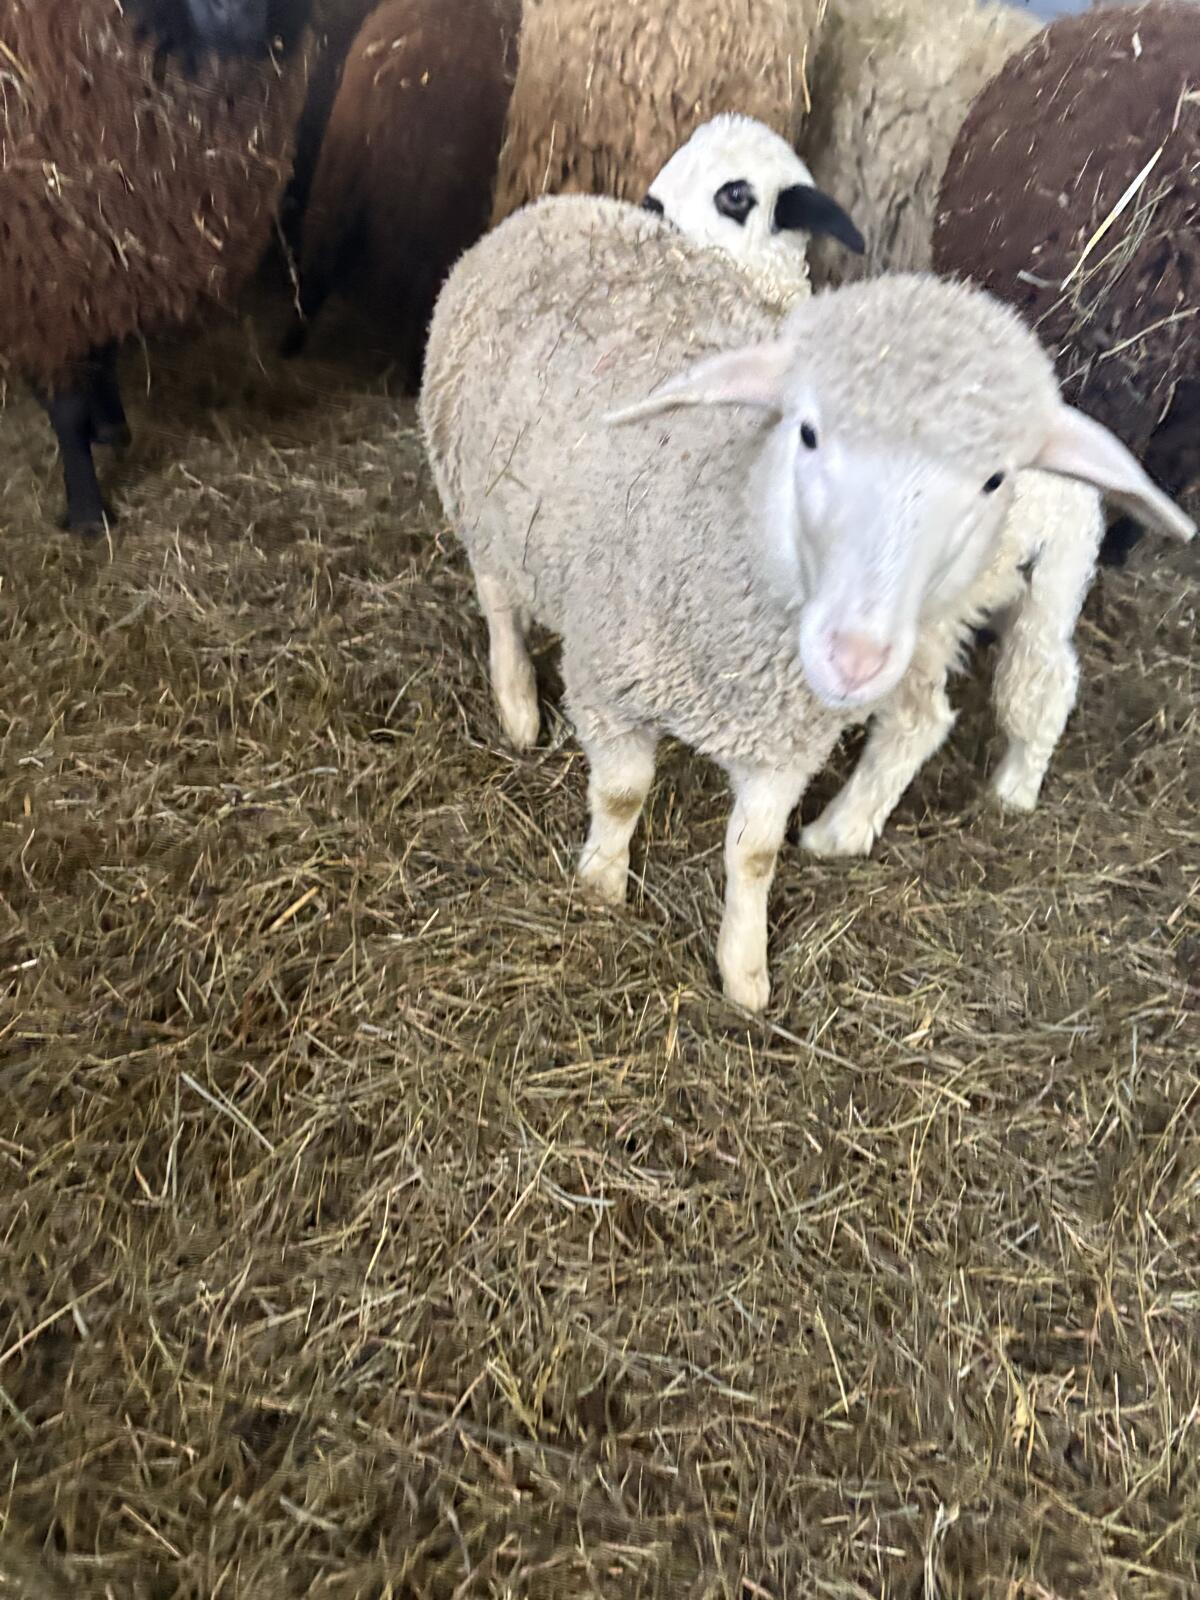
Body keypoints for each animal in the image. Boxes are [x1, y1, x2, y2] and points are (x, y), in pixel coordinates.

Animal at [0, 0, 312, 539]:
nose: (237, 12)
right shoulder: (42, 275)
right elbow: (67, 405)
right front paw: (88, 513)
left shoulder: (108, 257)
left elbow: (102, 353)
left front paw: (110, 425)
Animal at [281, 0, 522, 391]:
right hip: (441, 205)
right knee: (429, 288)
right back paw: (414, 379)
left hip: (337, 174)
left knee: (318, 258)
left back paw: (290, 343)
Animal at [419, 195, 1194, 1010]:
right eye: (810, 432)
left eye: (993, 478)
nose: (852, 657)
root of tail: (565, 204)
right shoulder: (610, 687)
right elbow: (624, 796)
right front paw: (600, 889)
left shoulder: (786, 744)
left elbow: (754, 854)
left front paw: (745, 971)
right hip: (479, 496)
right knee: (497, 599)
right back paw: (517, 706)